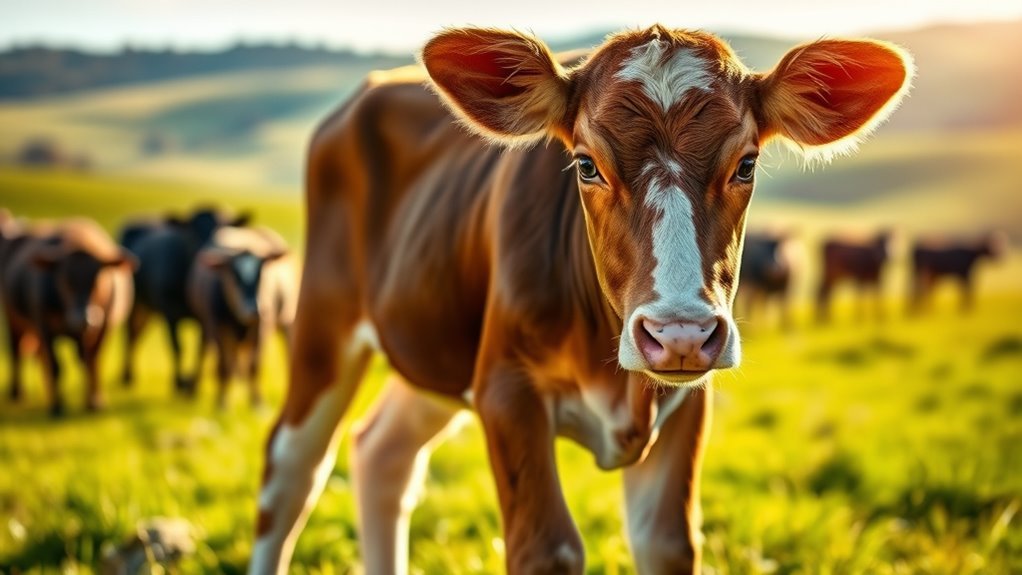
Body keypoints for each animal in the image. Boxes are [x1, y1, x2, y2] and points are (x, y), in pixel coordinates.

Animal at [1, 218, 134, 415]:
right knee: (17, 351)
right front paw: (57, 407)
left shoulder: (104, 326)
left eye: (98, 278)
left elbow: (92, 361)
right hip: (13, 318)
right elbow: (55, 366)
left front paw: (95, 402)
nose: (83, 318)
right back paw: (17, 392)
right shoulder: (43, 325)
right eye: (64, 279)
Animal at [118, 207, 250, 393]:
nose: (209, 253)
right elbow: (177, 346)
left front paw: (193, 384)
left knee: (137, 333)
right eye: (193, 231)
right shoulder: (170, 312)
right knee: (130, 334)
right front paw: (179, 383)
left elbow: (202, 348)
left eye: (223, 230)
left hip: (147, 307)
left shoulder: (205, 317)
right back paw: (127, 376)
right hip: (134, 301)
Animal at [187, 226, 295, 408]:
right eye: (234, 276)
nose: (254, 309)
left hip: (285, 320)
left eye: (261, 274)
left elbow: (254, 366)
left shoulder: (262, 328)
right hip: (205, 324)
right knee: (205, 349)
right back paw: (194, 388)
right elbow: (223, 366)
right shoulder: (218, 327)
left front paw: (257, 401)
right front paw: (222, 402)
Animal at [250, 26, 913, 574]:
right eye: (586, 164)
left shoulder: (686, 406)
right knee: (290, 474)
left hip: (434, 349)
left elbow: (667, 544)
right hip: (323, 325)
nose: (679, 334)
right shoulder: (505, 386)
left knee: (383, 455)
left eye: (746, 163)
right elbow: (548, 548)